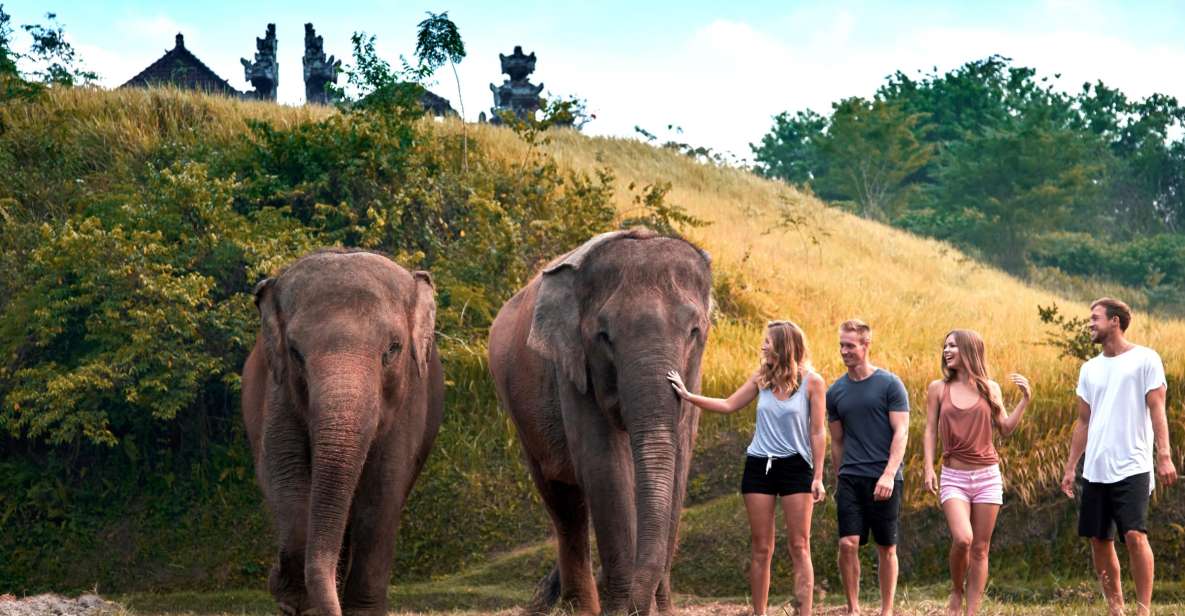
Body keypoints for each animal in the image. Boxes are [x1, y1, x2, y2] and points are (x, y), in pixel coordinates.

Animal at [240, 248, 445, 616]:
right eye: (295, 352)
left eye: (392, 349)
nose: (272, 575)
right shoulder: (277, 392)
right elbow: (284, 475)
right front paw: (294, 599)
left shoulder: (411, 398)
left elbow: (383, 491)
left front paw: (360, 610)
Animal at [485, 229, 706, 616]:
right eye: (604, 336)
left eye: (694, 331)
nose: (640, 607)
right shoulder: (573, 367)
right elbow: (605, 466)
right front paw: (621, 610)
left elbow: (679, 463)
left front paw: (662, 610)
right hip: (518, 408)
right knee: (563, 500)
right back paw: (577, 607)